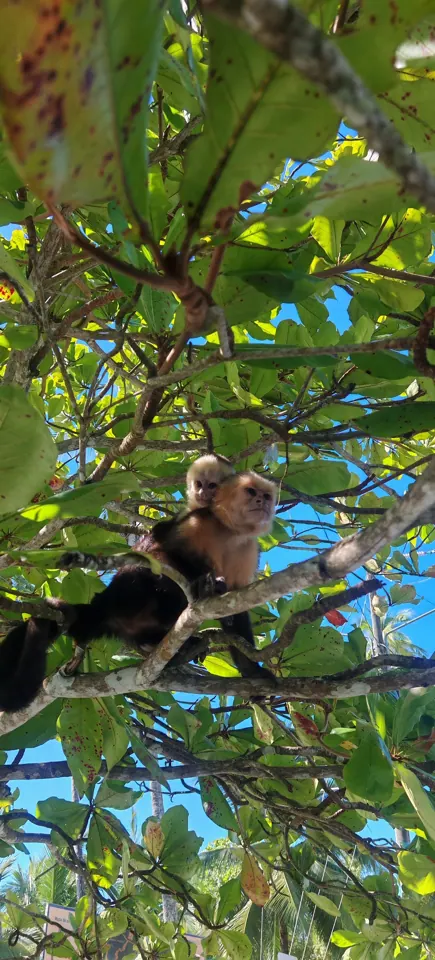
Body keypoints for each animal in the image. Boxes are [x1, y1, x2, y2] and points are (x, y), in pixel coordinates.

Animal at [0, 472, 277, 712]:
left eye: (267, 495)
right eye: (251, 491)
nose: (262, 501)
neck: (229, 531)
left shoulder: (248, 550)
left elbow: (237, 606)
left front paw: (252, 672)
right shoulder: (198, 522)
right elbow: (159, 549)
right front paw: (200, 581)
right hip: (124, 598)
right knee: (143, 571)